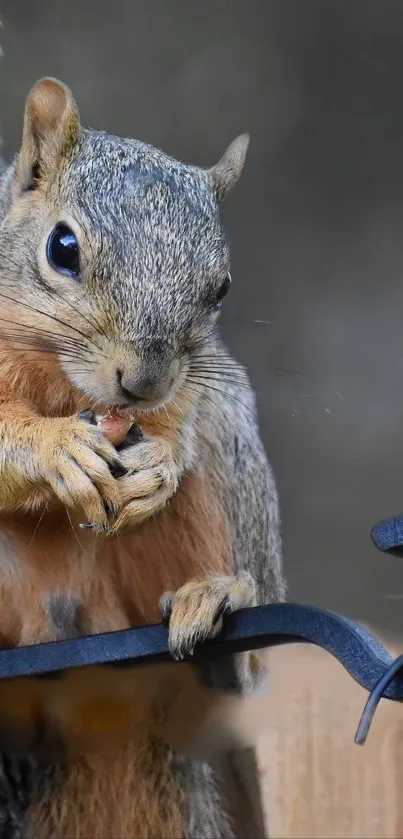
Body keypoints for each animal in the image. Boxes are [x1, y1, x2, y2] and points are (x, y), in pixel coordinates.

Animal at [0, 79, 288, 839]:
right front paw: (57, 448)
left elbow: (173, 430)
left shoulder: (192, 390)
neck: (60, 379)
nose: (145, 380)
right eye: (62, 247)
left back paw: (215, 602)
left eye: (220, 288)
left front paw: (160, 462)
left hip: (227, 449)